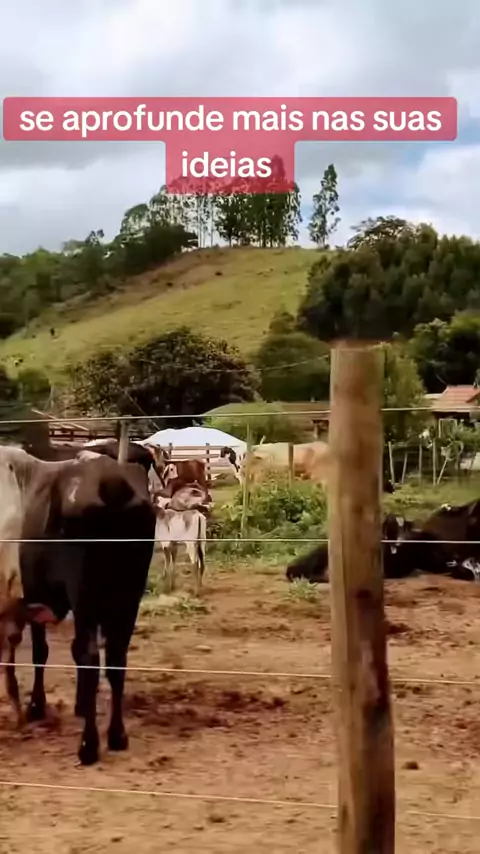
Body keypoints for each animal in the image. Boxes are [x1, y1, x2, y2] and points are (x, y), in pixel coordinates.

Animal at [0, 446, 156, 766]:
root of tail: (111, 481)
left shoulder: (29, 596)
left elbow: (38, 652)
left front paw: (33, 707)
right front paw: (81, 704)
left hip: (85, 594)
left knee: (90, 656)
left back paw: (88, 745)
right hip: (127, 598)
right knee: (115, 658)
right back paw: (116, 735)